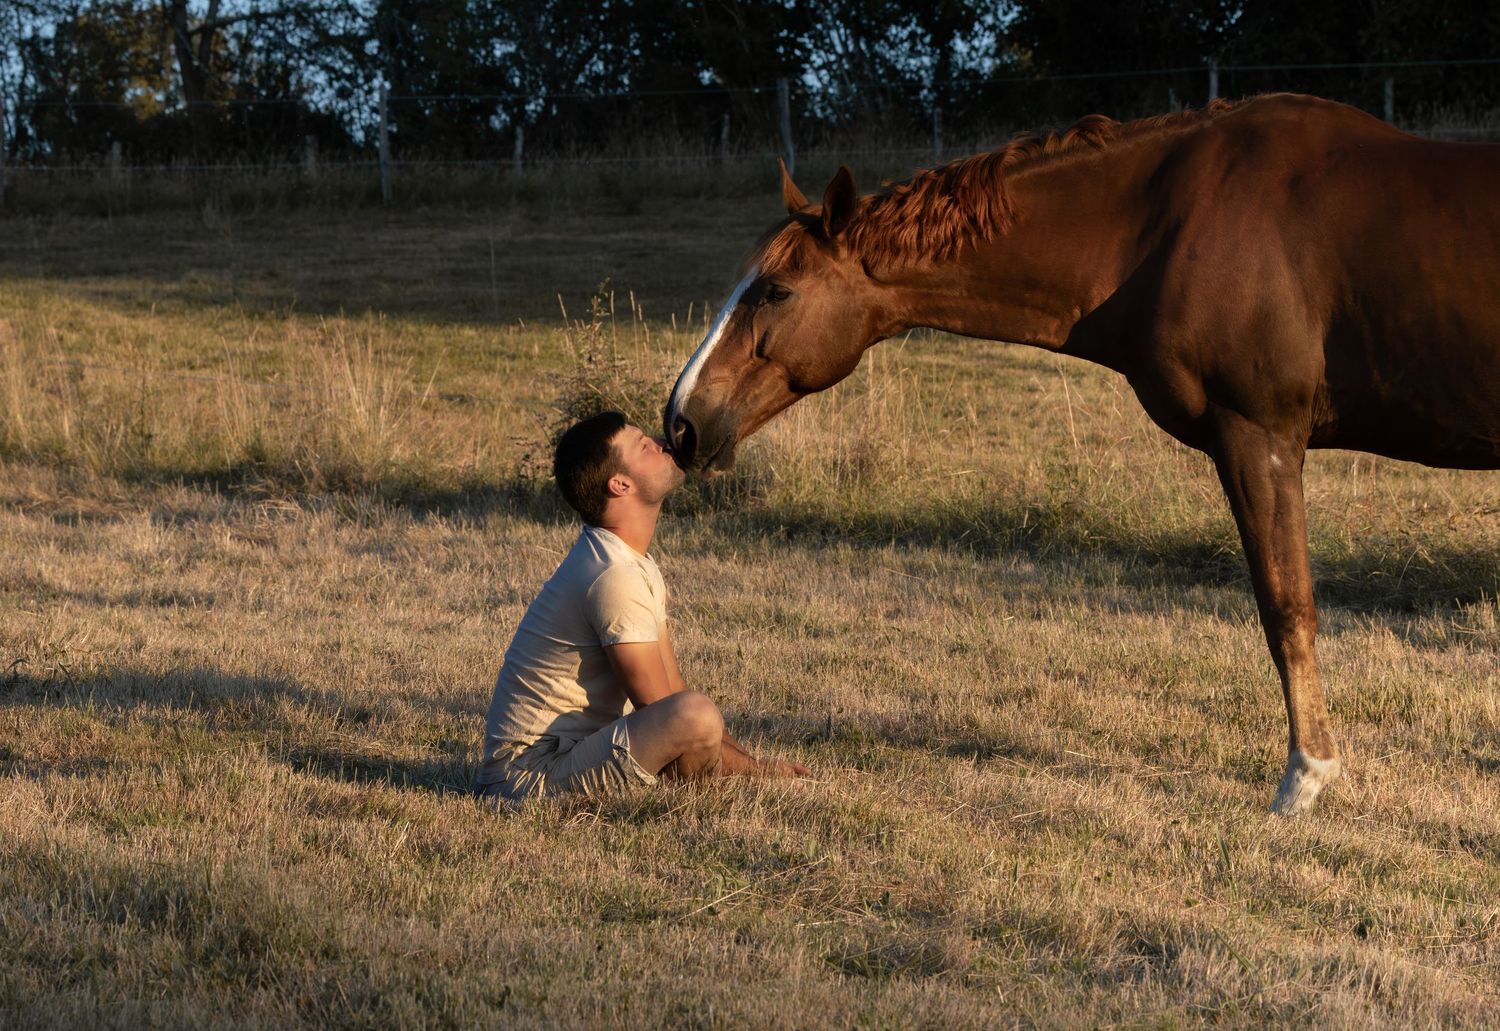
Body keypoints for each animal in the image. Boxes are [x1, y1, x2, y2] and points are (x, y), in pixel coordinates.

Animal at [661, 93, 1500, 816]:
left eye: (775, 289)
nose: (681, 420)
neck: (1172, 222)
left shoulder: (1258, 436)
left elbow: (1286, 607)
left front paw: (1305, 777)